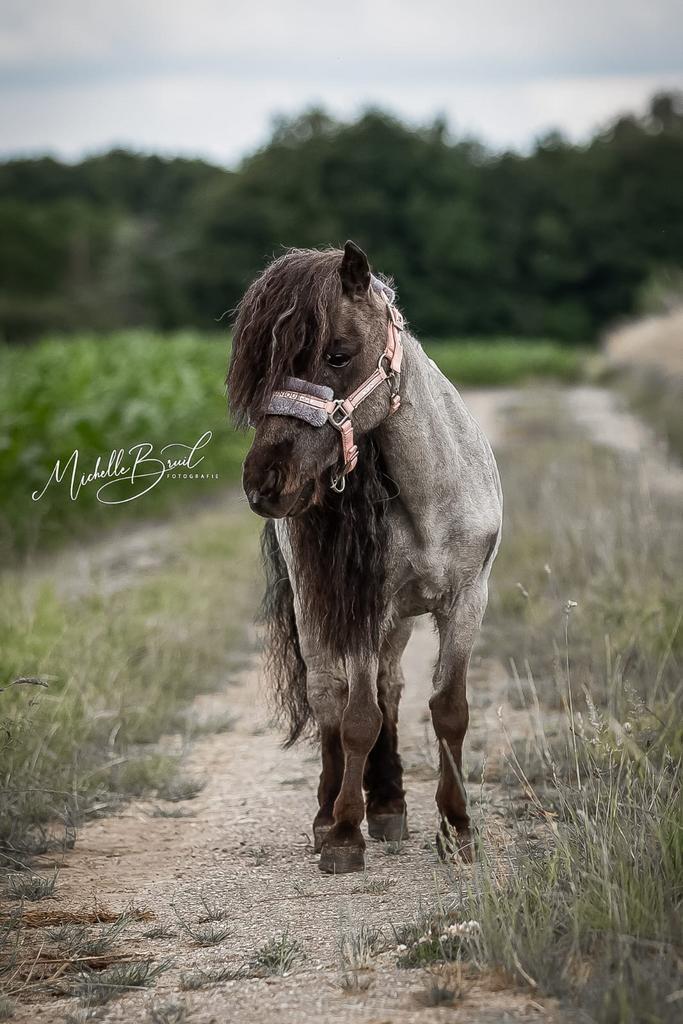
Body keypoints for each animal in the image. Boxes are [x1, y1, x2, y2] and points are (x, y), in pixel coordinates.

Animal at [227, 242, 502, 874]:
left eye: (337, 354)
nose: (263, 482)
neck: (429, 496)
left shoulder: (467, 600)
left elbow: (448, 709)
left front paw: (457, 829)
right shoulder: (359, 605)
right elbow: (356, 720)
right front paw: (345, 834)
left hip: (396, 621)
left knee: (389, 685)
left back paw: (390, 804)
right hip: (319, 610)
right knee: (329, 697)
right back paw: (329, 813)